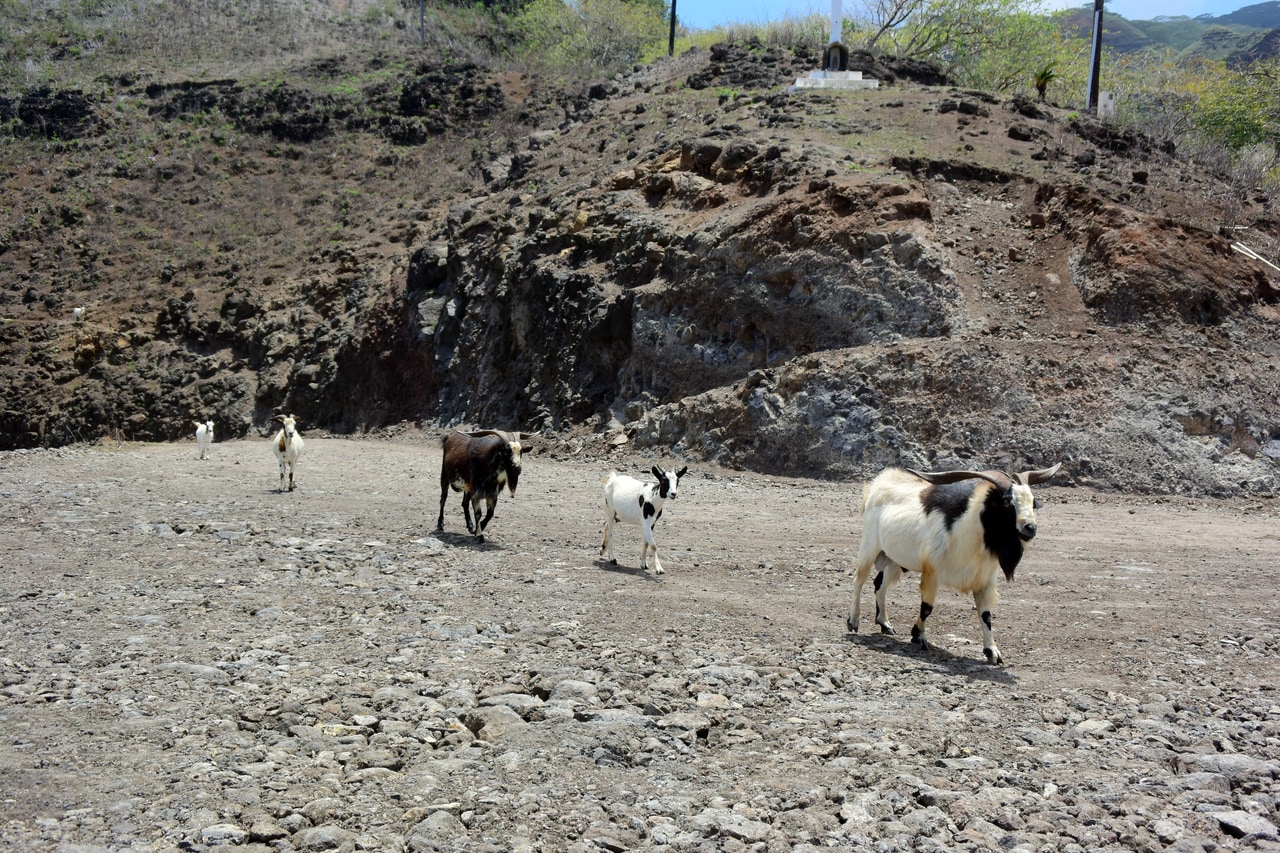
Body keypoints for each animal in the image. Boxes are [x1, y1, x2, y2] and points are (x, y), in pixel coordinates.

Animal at [849, 461, 1059, 660]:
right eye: (1007, 502)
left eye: (1033, 502)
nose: (1030, 527)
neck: (970, 529)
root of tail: (877, 485)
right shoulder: (932, 571)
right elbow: (927, 607)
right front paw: (919, 636)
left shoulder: (984, 579)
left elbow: (986, 615)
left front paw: (992, 652)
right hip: (869, 548)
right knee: (859, 581)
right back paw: (853, 622)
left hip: (894, 559)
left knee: (879, 584)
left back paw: (885, 624)